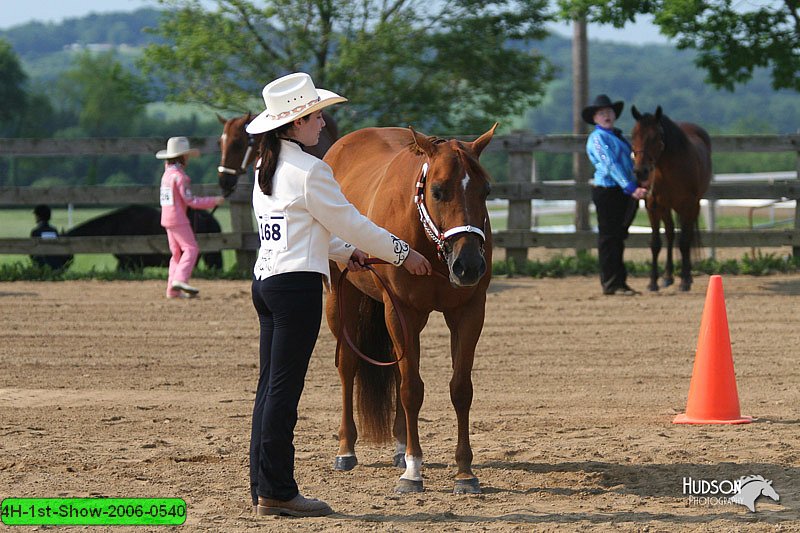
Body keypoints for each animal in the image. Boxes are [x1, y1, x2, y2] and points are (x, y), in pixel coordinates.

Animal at [322, 124, 496, 494]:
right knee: (348, 366)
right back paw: (346, 450)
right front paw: (413, 472)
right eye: (438, 191)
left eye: (486, 190)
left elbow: (460, 389)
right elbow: (411, 390)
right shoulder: (398, 309)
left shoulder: (469, 311)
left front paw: (464, 472)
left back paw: (400, 447)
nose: (469, 266)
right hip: (341, 298)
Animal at [632, 106, 712, 290]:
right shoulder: (652, 206)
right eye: (633, 135)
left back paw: (686, 276)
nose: (640, 171)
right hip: (666, 208)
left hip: (692, 206)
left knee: (685, 237)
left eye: (655, 137)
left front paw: (685, 281)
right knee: (669, 234)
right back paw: (668, 276)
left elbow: (684, 242)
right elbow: (655, 243)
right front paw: (652, 282)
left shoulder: (688, 206)